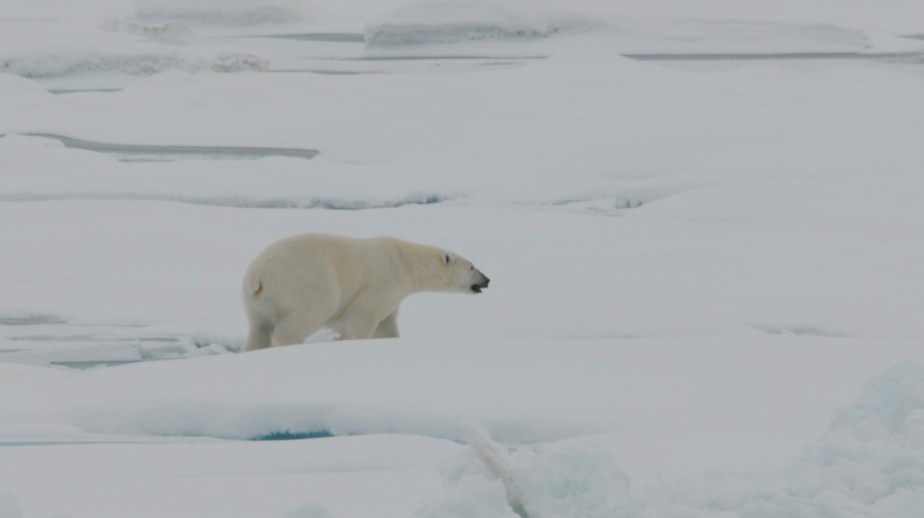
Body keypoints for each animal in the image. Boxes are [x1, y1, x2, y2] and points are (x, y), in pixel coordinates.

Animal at [242, 233, 490, 351]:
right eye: (472, 267)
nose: (487, 280)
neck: (405, 262)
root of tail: (258, 274)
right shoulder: (383, 283)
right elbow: (361, 318)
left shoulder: (393, 298)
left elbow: (386, 327)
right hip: (305, 281)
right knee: (312, 311)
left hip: (256, 302)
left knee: (259, 328)